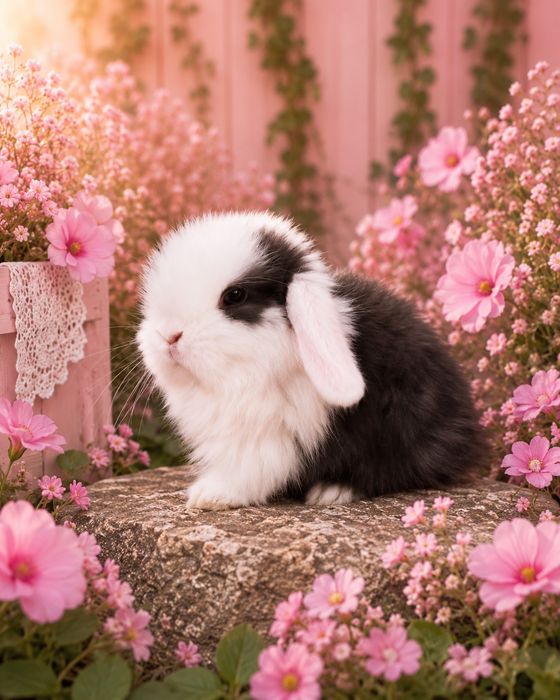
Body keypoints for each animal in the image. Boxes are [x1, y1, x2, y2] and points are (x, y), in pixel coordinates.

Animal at [137, 211, 486, 509]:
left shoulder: (268, 437)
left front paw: (210, 495)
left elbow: (251, 469)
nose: (168, 336)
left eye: (234, 296)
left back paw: (333, 490)